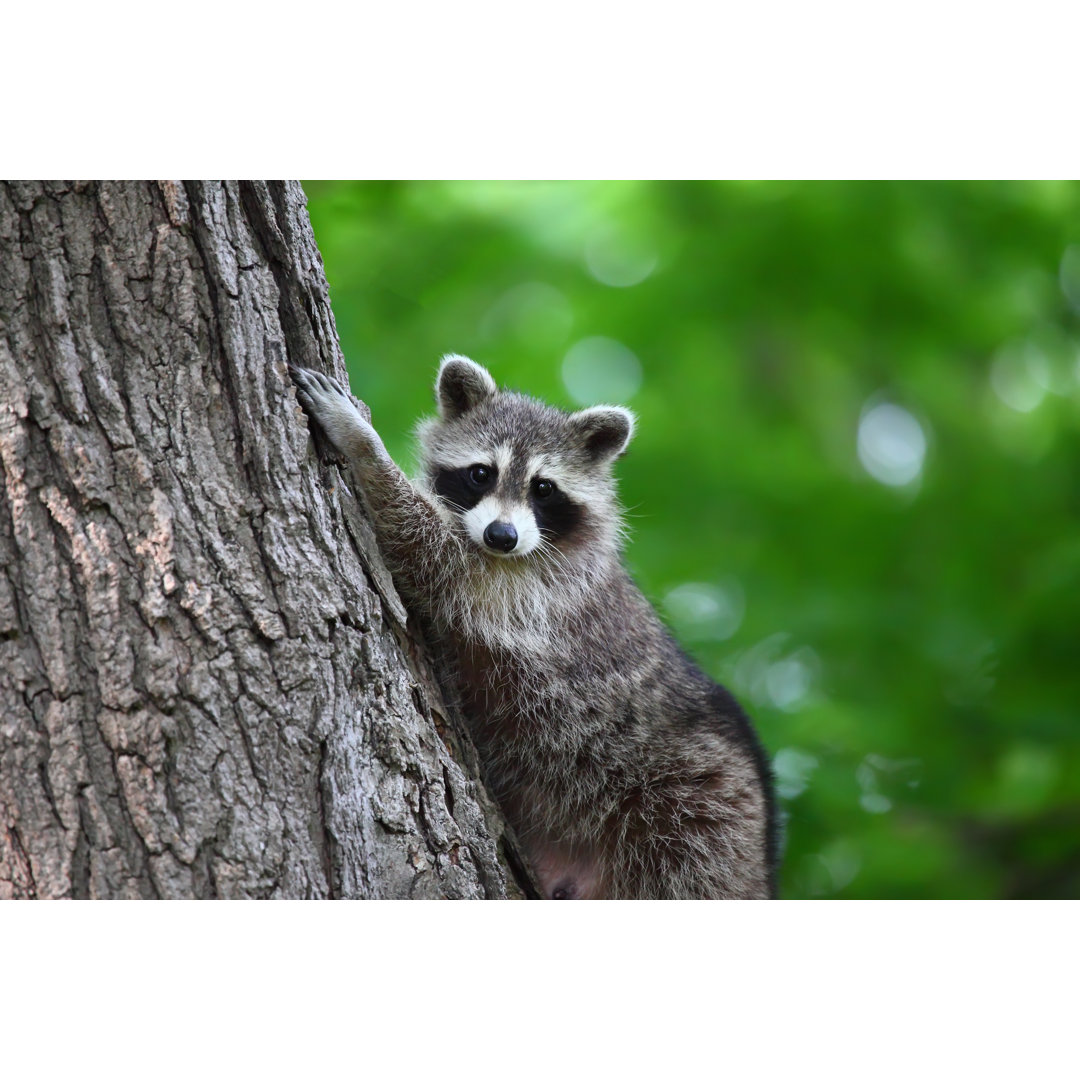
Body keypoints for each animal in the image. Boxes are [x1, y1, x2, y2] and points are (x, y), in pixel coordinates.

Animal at [287, 358, 777, 898]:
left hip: (696, 822)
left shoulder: (538, 592)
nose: (501, 536)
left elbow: (433, 552)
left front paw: (363, 444)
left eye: (544, 488)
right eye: (481, 474)